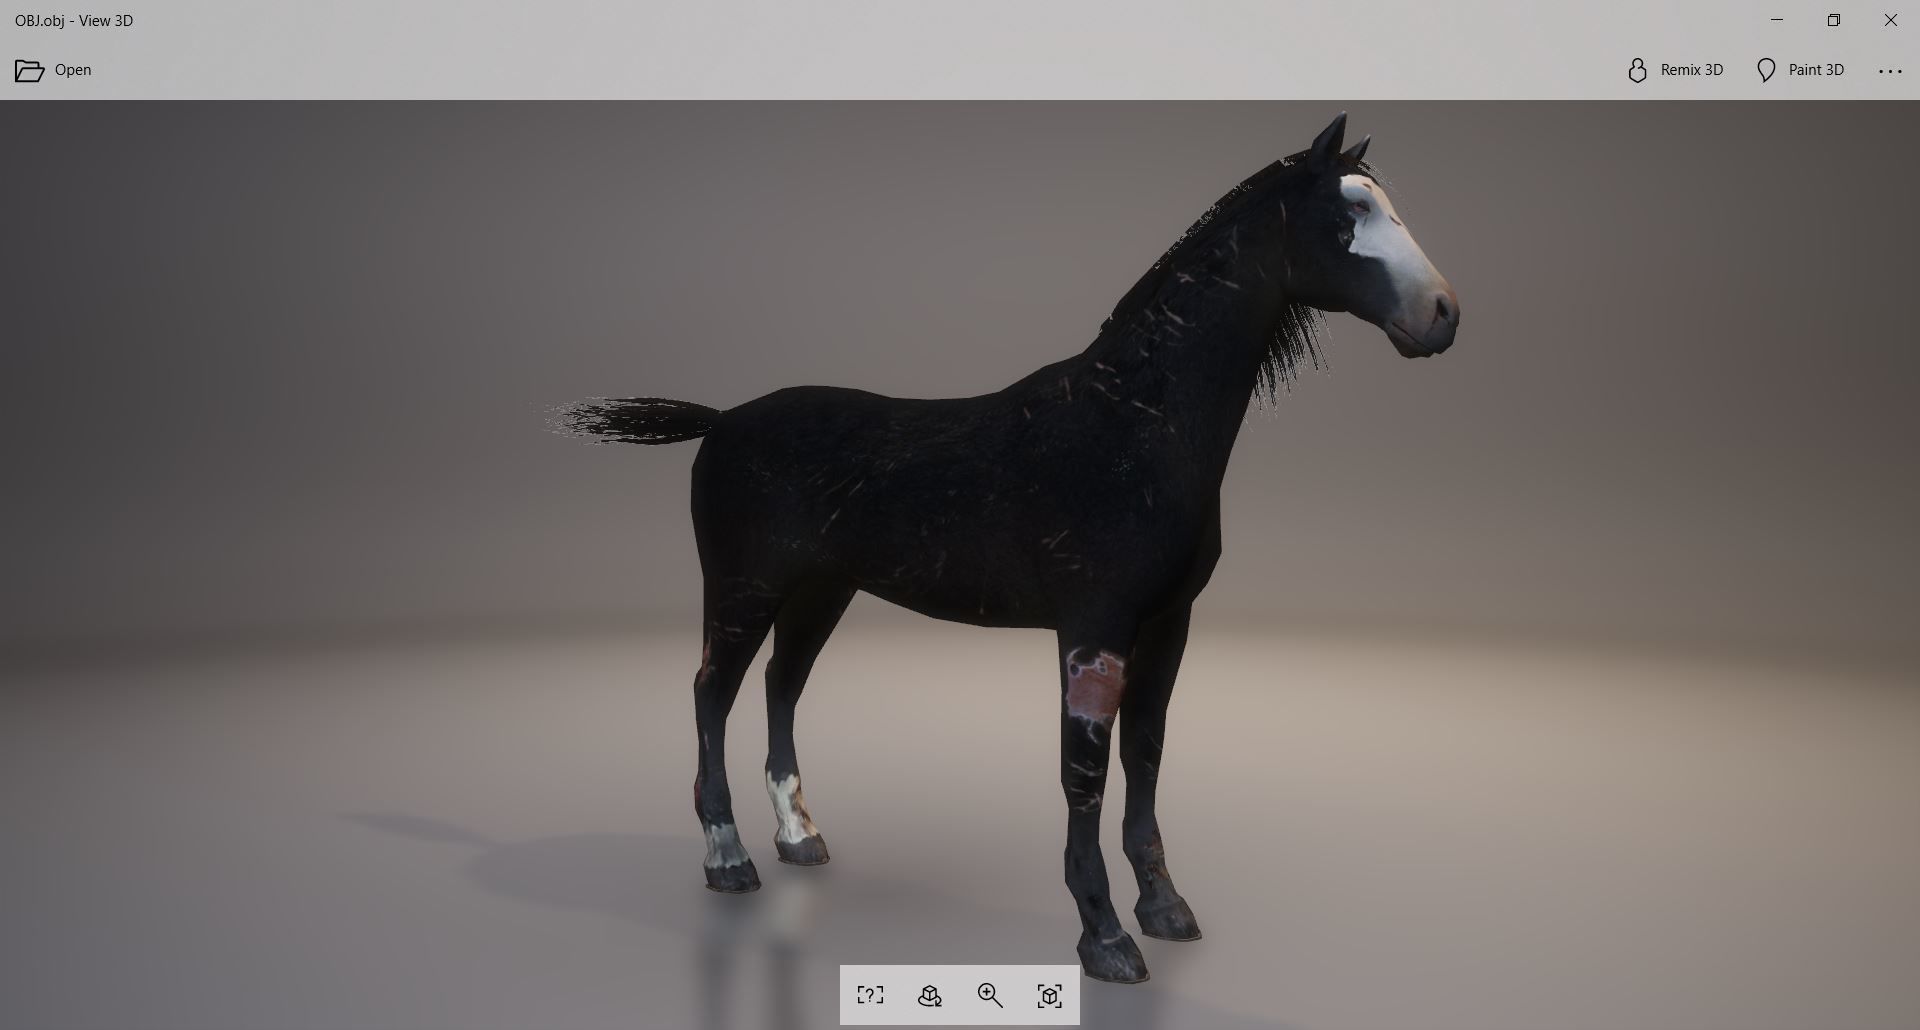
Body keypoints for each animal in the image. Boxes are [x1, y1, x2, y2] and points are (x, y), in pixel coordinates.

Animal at [563, 113, 1460, 983]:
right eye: (1346, 216)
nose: (1444, 314)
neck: (1132, 424)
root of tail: (720, 420)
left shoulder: (1167, 625)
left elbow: (1146, 753)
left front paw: (1165, 908)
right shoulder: (1094, 628)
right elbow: (1084, 772)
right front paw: (1105, 937)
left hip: (822, 592)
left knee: (781, 686)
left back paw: (799, 838)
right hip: (743, 588)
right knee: (711, 692)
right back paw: (728, 858)